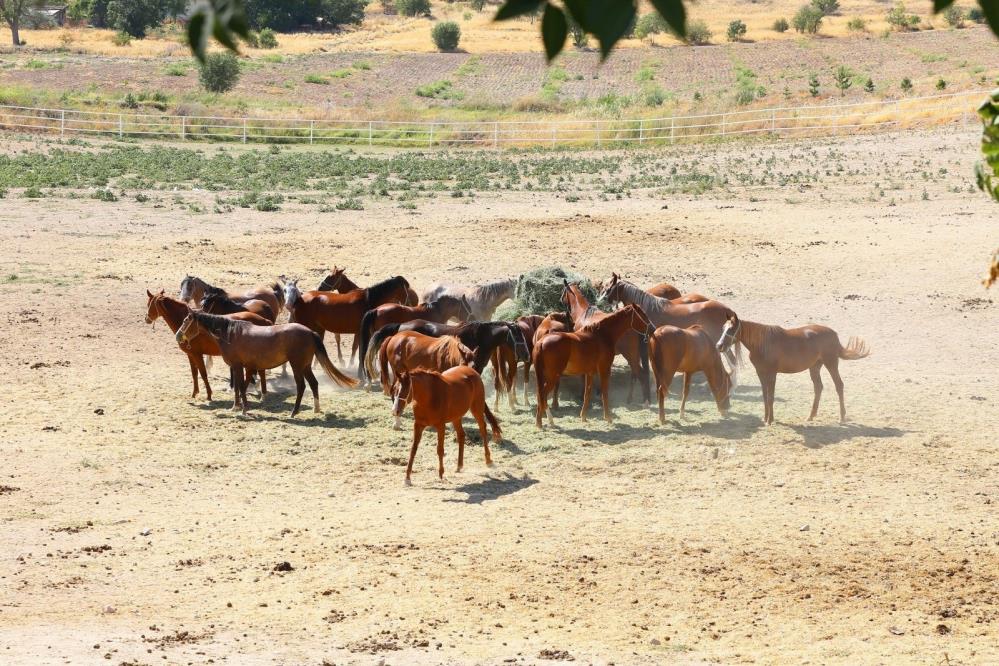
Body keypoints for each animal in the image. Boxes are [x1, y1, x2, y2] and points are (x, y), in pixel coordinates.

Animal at [178, 312, 358, 416]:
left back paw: (294, 412)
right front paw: (239, 407)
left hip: (297, 366)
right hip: (306, 366)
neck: (230, 334)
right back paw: (316, 409)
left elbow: (239, 386)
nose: (178, 336)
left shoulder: (237, 366)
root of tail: (310, 332)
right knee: (314, 384)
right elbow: (240, 387)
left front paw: (241, 409)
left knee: (301, 386)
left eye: (186, 320)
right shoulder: (244, 367)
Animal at [716, 316, 872, 420]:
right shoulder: (761, 373)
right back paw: (811, 416)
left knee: (839, 385)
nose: (719, 346)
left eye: (731, 329)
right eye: (723, 328)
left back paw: (842, 417)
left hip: (831, 363)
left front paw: (770, 420)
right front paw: (765, 419)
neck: (763, 344)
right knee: (818, 387)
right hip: (815, 367)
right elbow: (765, 396)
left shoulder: (772, 374)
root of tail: (833, 334)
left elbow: (771, 396)